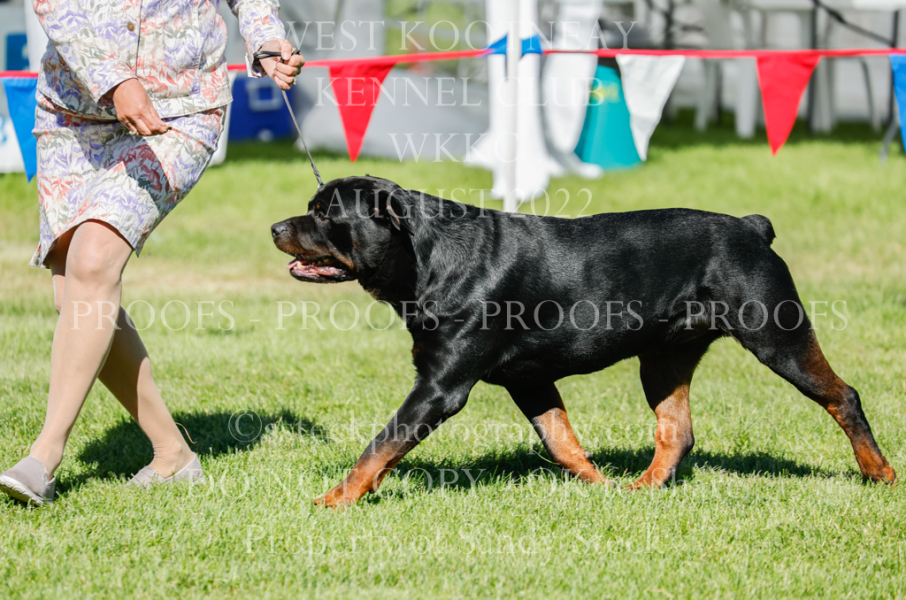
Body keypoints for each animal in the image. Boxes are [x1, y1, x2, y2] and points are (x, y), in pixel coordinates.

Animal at [271, 175, 896, 507]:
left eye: (325, 213)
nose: (276, 227)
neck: (425, 259)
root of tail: (750, 226)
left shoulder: (441, 386)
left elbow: (380, 446)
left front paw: (334, 500)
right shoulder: (528, 379)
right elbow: (562, 441)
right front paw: (600, 486)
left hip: (775, 332)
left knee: (843, 396)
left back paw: (879, 473)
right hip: (663, 356)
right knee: (677, 431)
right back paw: (642, 488)